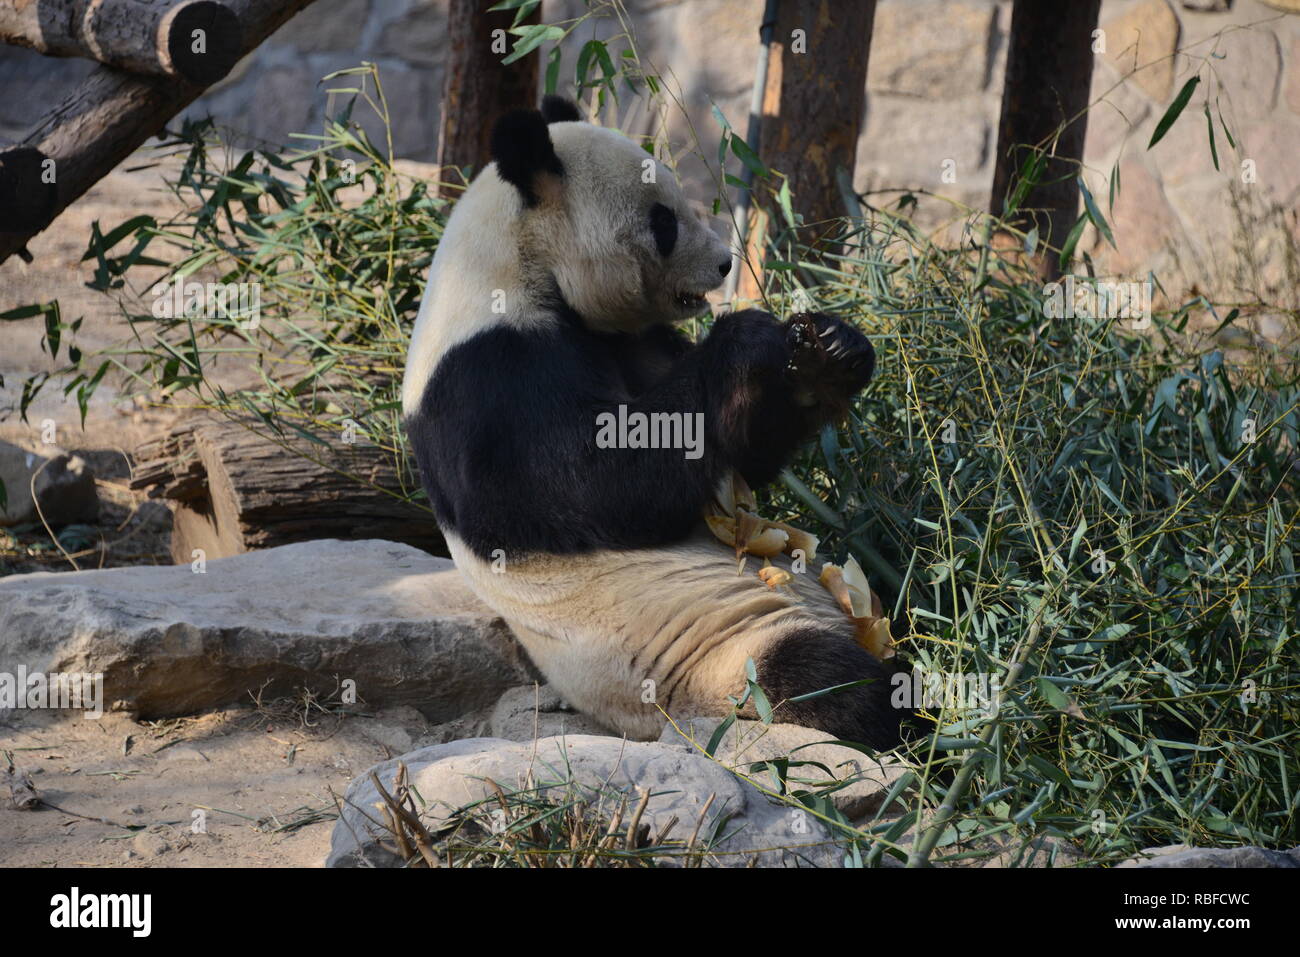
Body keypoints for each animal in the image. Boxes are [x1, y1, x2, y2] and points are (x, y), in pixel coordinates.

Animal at [403, 97, 904, 748]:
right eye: (664, 221)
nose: (723, 262)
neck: (514, 265)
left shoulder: (630, 340)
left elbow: (740, 453)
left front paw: (828, 352)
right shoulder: (486, 377)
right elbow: (592, 484)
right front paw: (748, 339)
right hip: (722, 661)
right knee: (830, 682)